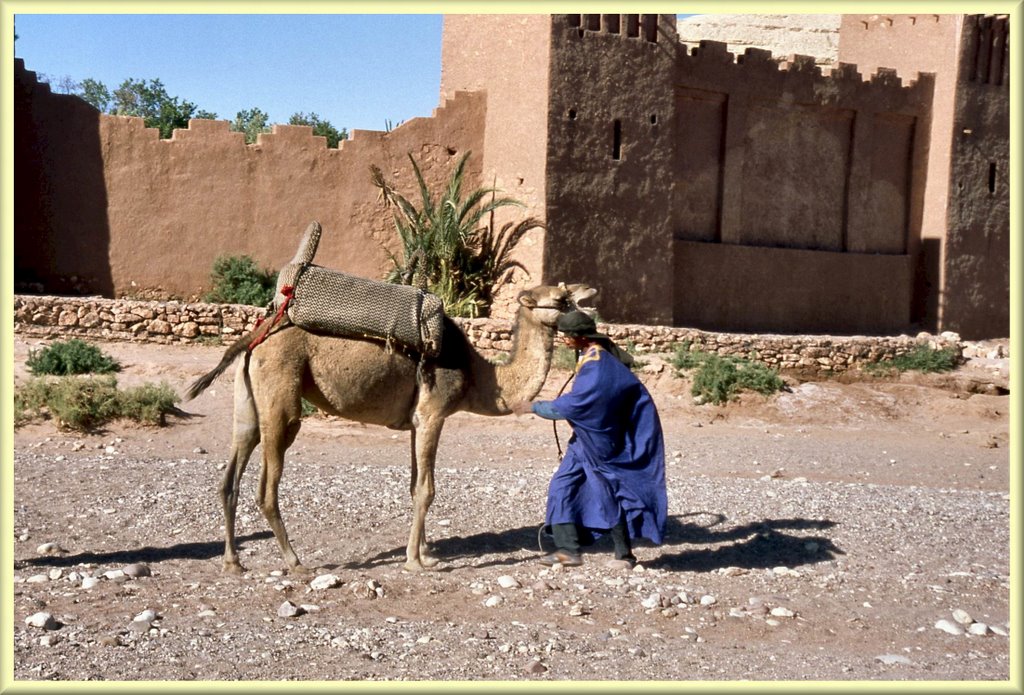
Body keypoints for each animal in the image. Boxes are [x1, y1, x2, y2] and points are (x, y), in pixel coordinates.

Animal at [187, 280, 598, 573]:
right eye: (562, 299)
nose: (591, 295)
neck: (481, 377)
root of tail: (255, 337)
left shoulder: (417, 423)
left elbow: (415, 485)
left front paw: (426, 552)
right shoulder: (433, 414)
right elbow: (428, 489)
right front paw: (417, 562)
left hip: (247, 402)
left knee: (231, 475)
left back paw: (233, 562)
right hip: (281, 401)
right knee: (267, 486)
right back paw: (294, 561)